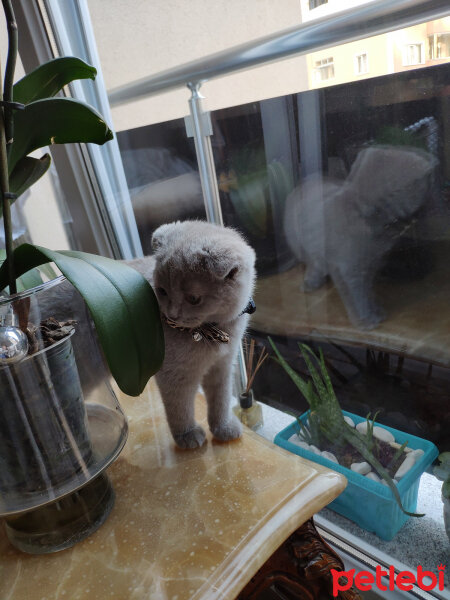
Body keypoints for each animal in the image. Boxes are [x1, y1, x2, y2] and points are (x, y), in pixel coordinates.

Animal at [130, 223, 256, 448]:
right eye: (162, 291)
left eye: (194, 298)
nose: (172, 314)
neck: (215, 330)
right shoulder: (175, 374)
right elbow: (180, 408)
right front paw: (187, 435)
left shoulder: (222, 365)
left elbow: (220, 399)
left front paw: (223, 428)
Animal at [284, 147, 436, 330]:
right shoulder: (348, 268)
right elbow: (356, 294)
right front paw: (364, 321)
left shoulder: (370, 263)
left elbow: (367, 290)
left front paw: (375, 310)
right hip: (299, 242)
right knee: (313, 263)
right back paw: (310, 282)